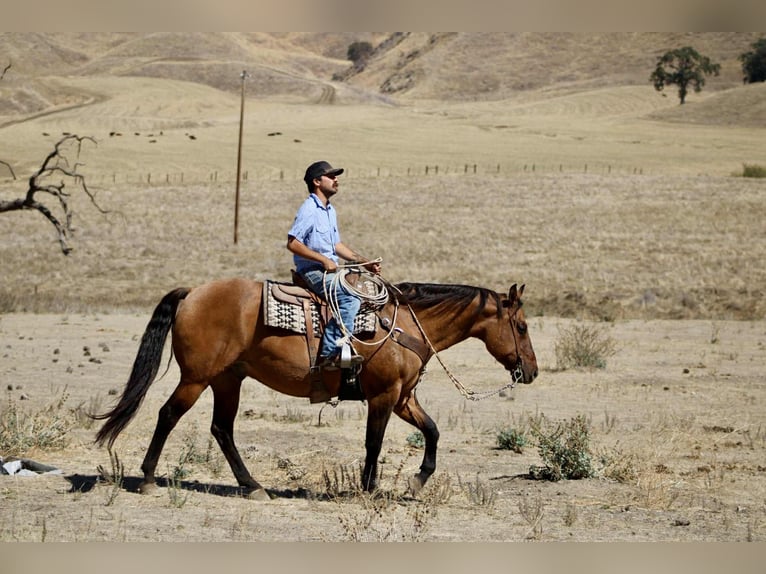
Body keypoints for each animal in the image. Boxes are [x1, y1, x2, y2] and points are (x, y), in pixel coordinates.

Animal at [93, 278, 537, 500]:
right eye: (521, 326)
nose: (531, 371)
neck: (404, 325)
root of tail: (193, 294)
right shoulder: (383, 396)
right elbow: (374, 442)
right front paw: (368, 489)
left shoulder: (403, 398)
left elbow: (432, 431)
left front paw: (417, 480)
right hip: (197, 378)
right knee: (169, 415)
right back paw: (149, 479)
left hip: (227, 380)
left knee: (222, 429)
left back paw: (252, 487)